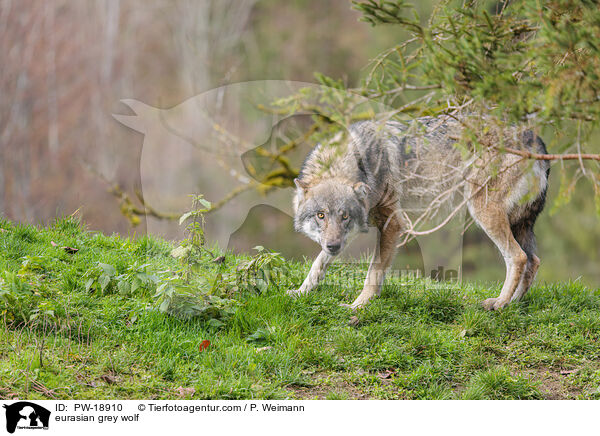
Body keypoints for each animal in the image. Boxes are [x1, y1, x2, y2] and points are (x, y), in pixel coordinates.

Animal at [288, 112, 552, 310]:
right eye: (321, 215)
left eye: (344, 216)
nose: (333, 246)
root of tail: (536, 140)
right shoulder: (350, 233)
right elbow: (318, 263)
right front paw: (301, 291)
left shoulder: (392, 223)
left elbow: (373, 272)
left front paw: (359, 305)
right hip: (517, 221)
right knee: (533, 260)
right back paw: (513, 303)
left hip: (483, 211)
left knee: (518, 257)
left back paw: (499, 303)